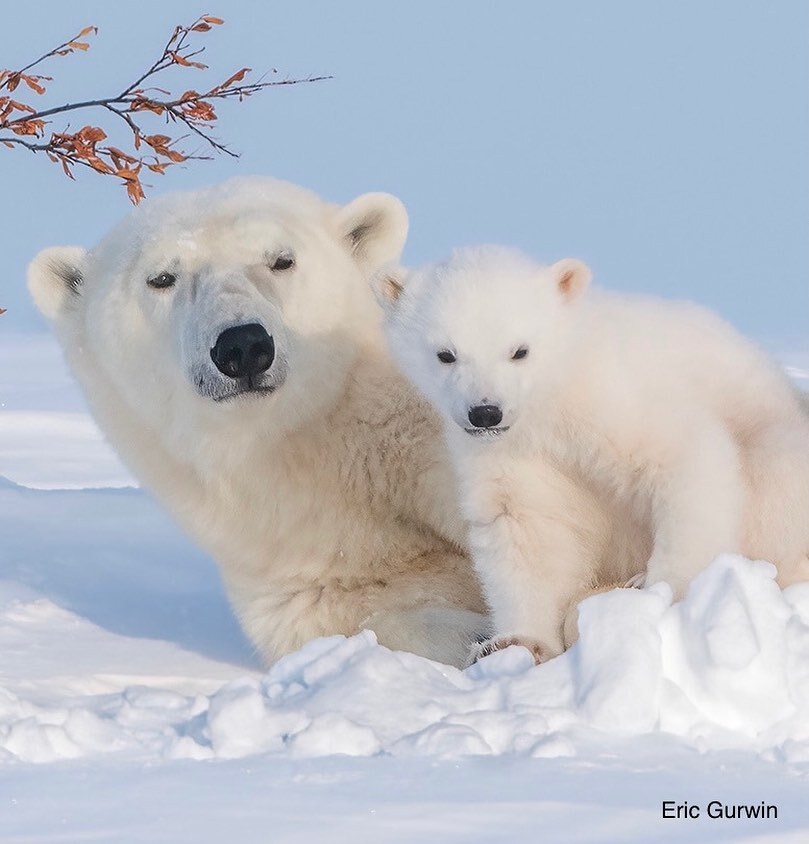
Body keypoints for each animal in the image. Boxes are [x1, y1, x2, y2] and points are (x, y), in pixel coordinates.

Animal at [26, 178, 644, 664]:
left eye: (282, 260)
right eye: (161, 278)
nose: (244, 347)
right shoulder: (299, 552)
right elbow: (356, 613)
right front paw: (481, 636)